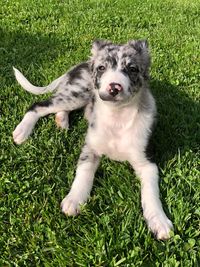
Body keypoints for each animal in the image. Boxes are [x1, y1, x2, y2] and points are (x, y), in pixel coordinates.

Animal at [12, 39, 173, 241]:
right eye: (102, 68)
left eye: (133, 69)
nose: (114, 87)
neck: (117, 117)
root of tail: (79, 65)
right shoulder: (90, 149)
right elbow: (84, 173)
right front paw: (74, 199)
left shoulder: (147, 162)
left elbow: (151, 191)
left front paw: (158, 220)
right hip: (77, 94)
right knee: (38, 106)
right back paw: (22, 131)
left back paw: (61, 121)